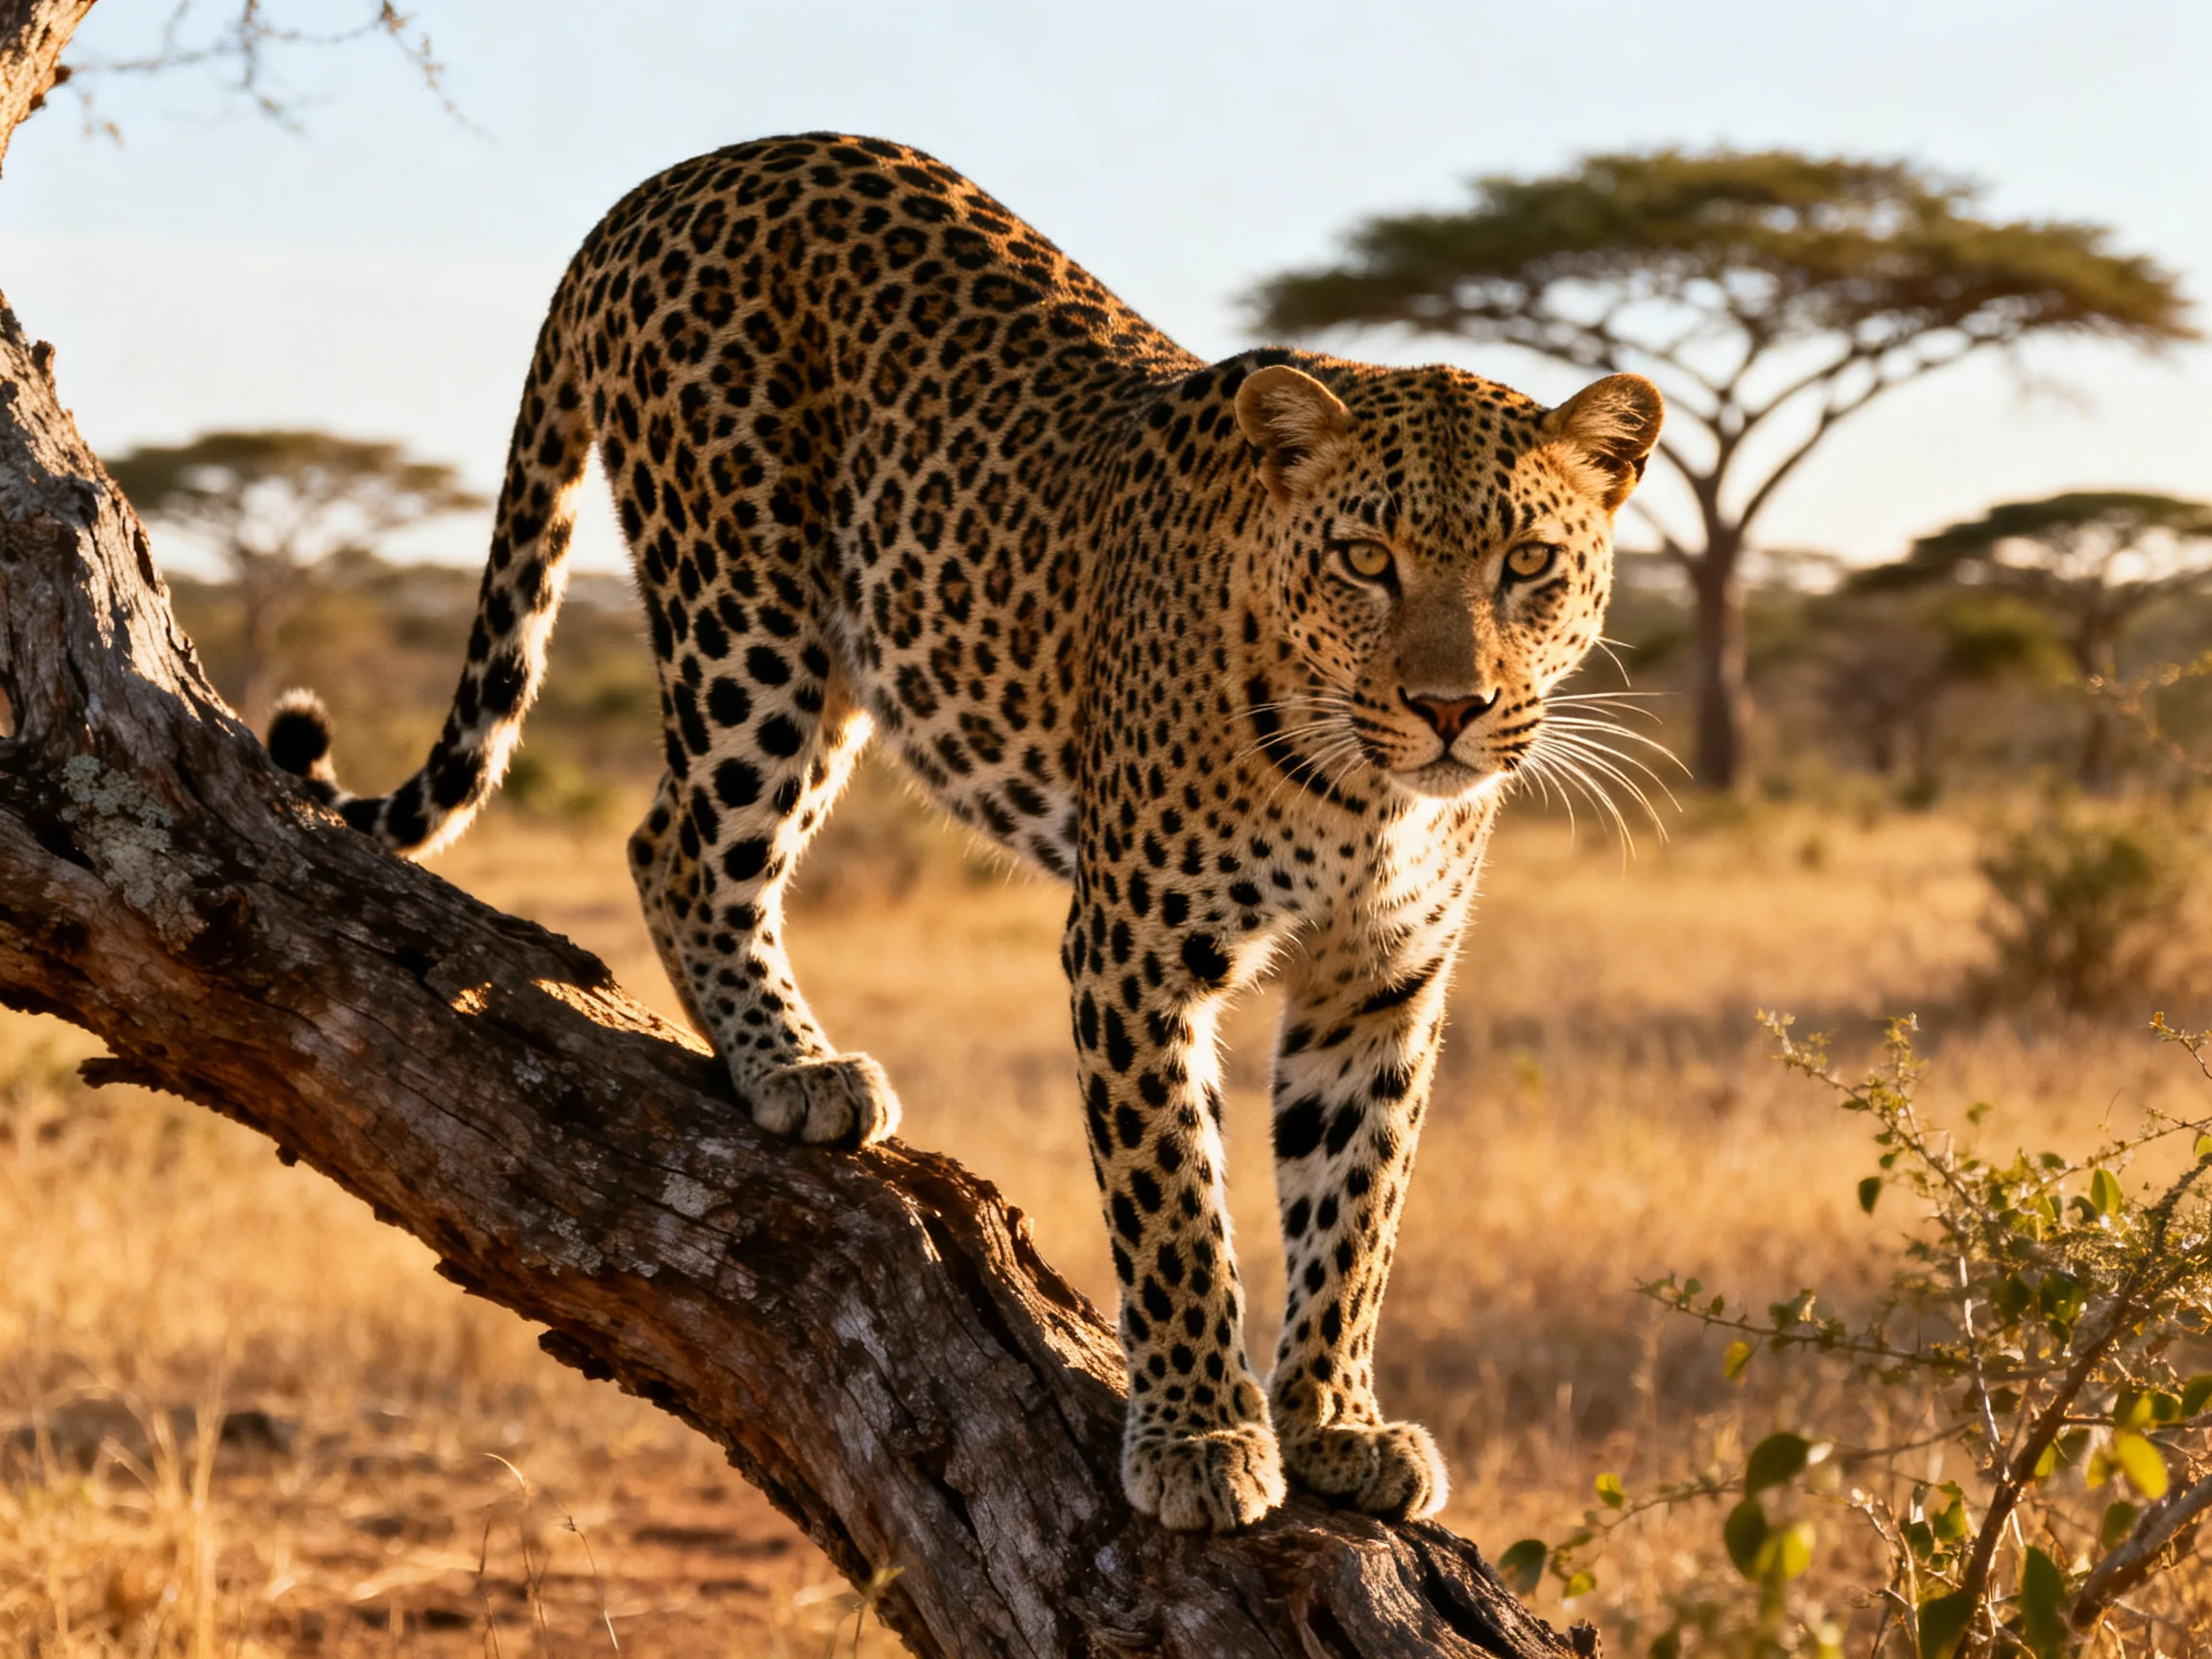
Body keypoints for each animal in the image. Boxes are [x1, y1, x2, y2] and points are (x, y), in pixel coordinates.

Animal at [265, 133, 1662, 1534]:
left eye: (1529, 564)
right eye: (1368, 559)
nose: (1449, 707)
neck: (1370, 801)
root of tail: (685, 172)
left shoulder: (1378, 985)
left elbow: (1356, 1206)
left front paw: (1334, 1422)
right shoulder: (1136, 955)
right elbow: (1175, 1206)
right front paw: (1203, 1437)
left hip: (839, 658)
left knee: (686, 835)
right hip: (747, 612)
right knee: (684, 846)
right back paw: (795, 1070)